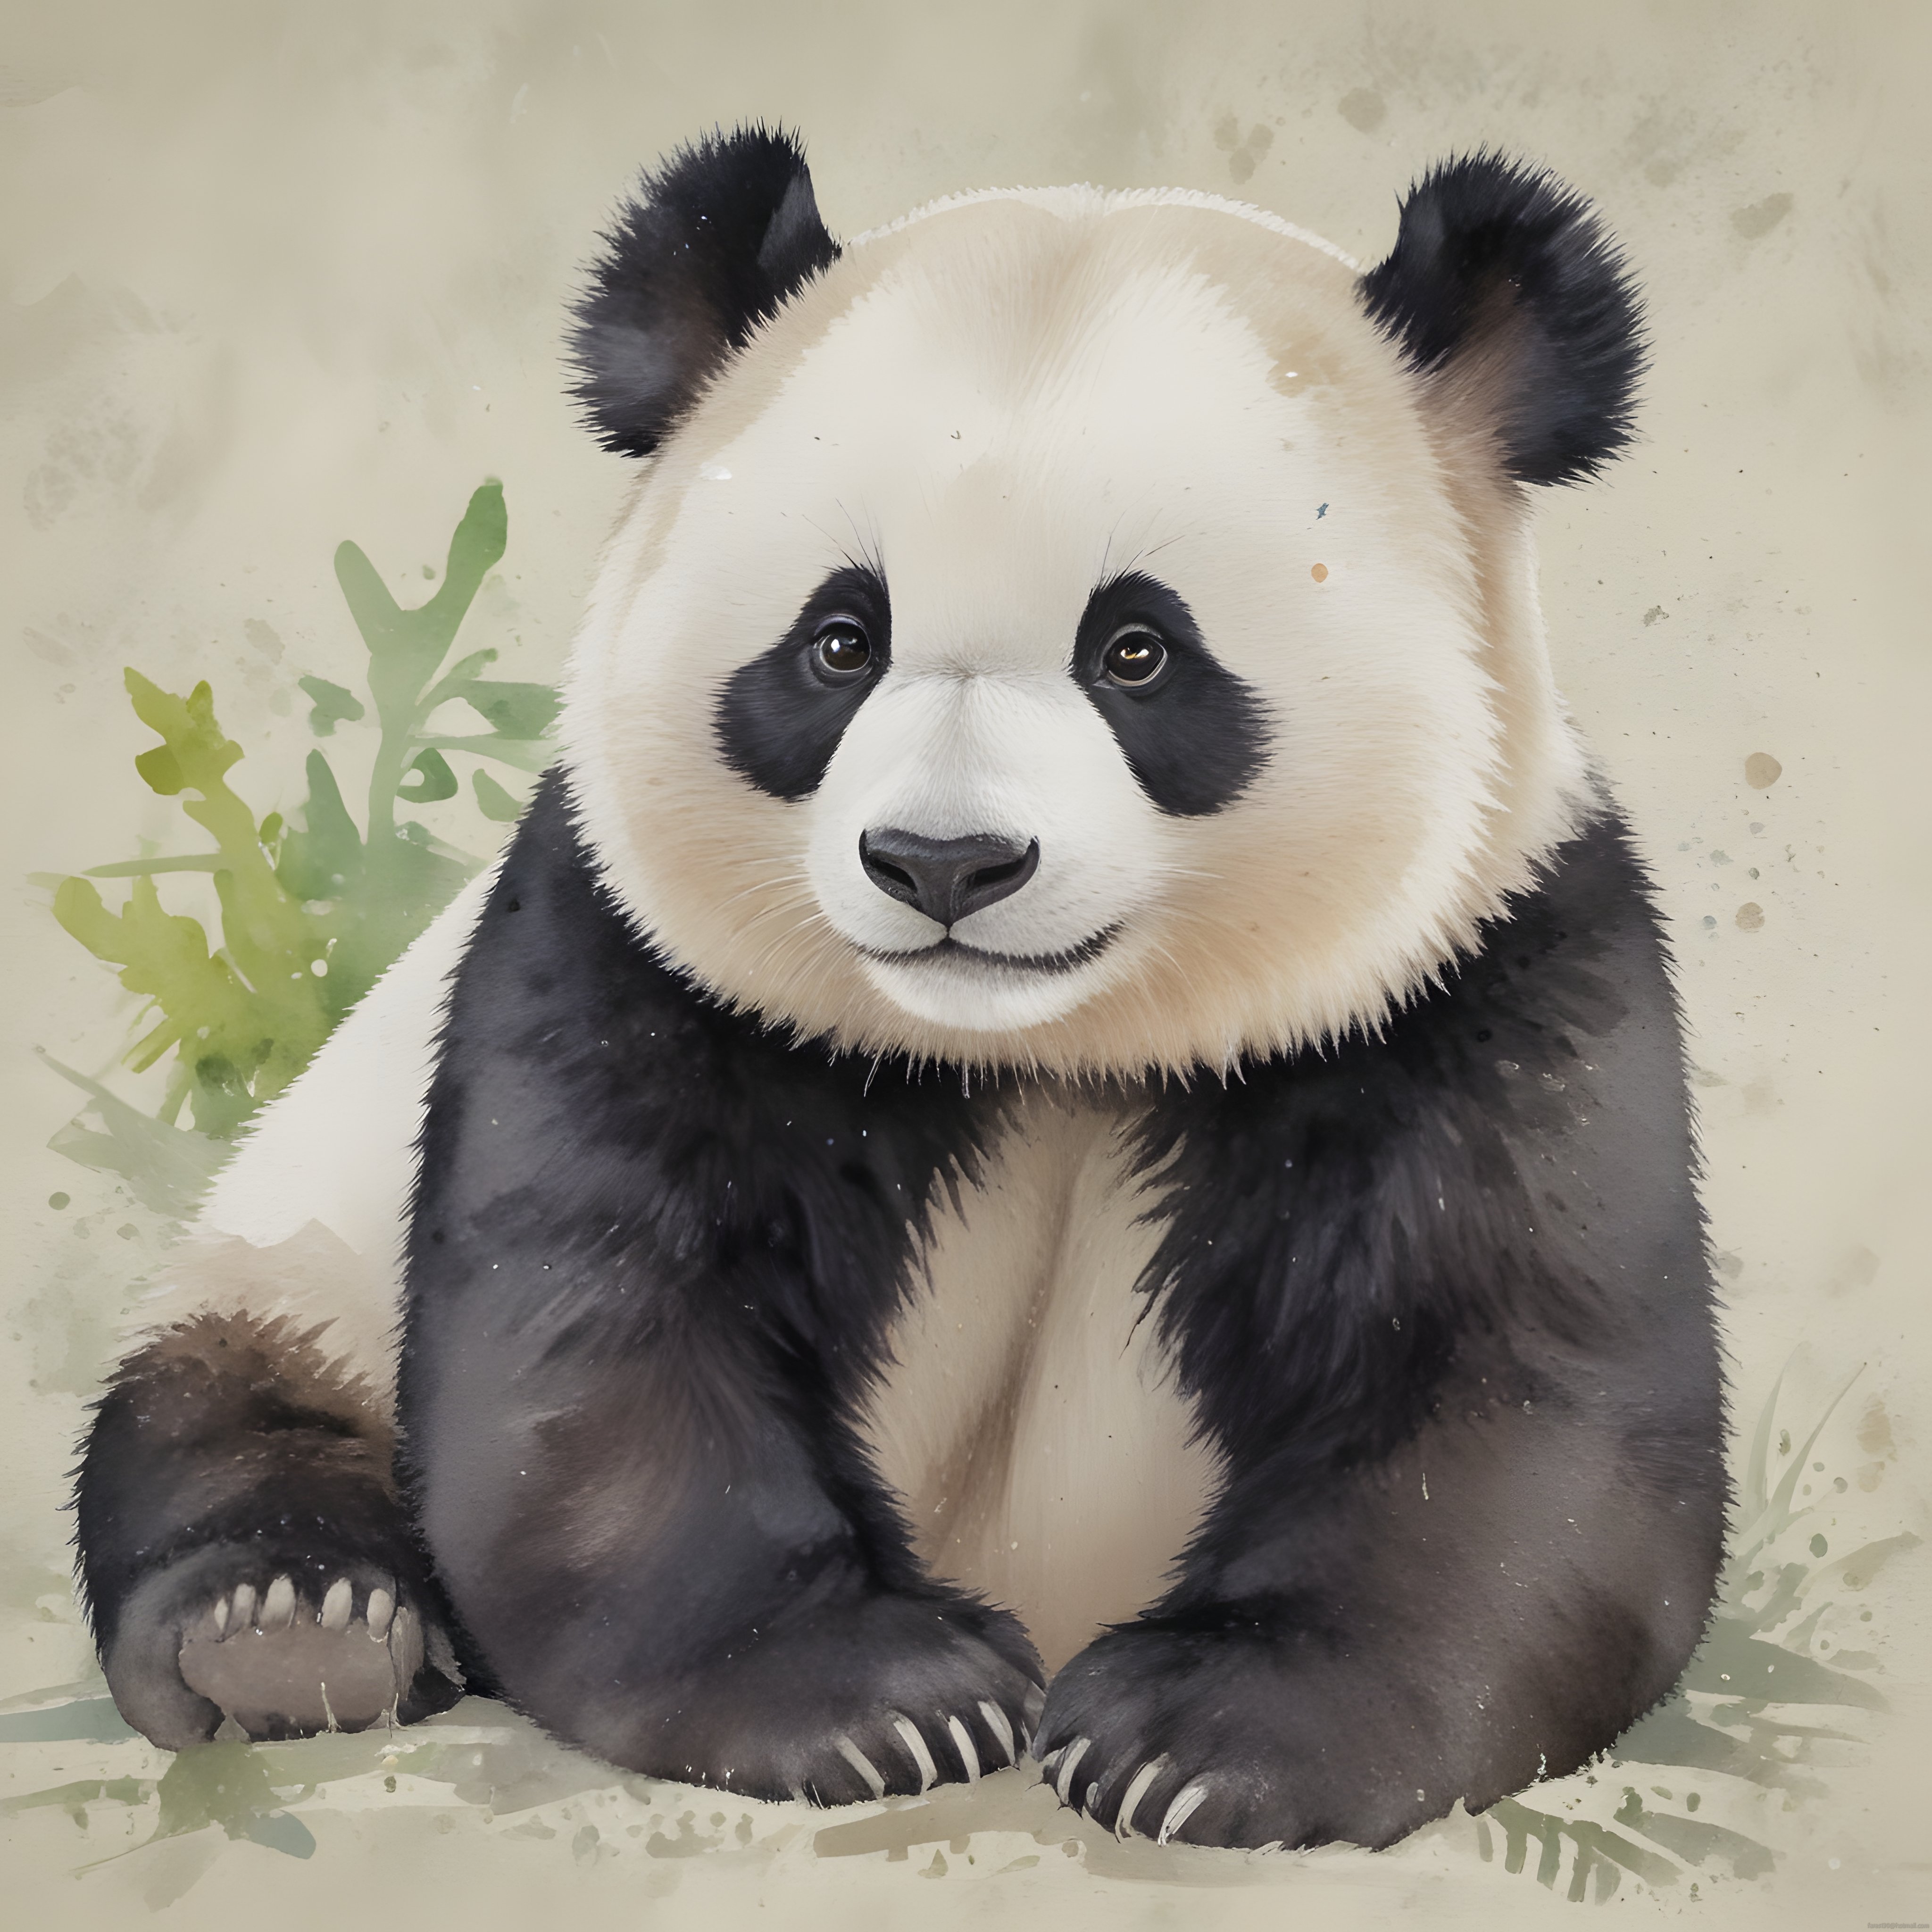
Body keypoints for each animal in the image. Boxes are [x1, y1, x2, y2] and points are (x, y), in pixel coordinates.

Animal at [74, 127, 1725, 1853]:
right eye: (837, 640)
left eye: (1139, 650)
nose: (946, 861)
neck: (1047, 1048)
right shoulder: (621, 962)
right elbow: (603, 1336)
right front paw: (883, 1701)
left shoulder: (1484, 979)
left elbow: (1502, 1384)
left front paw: (1201, 1738)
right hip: (295, 1248)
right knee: (220, 1400)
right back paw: (288, 1625)